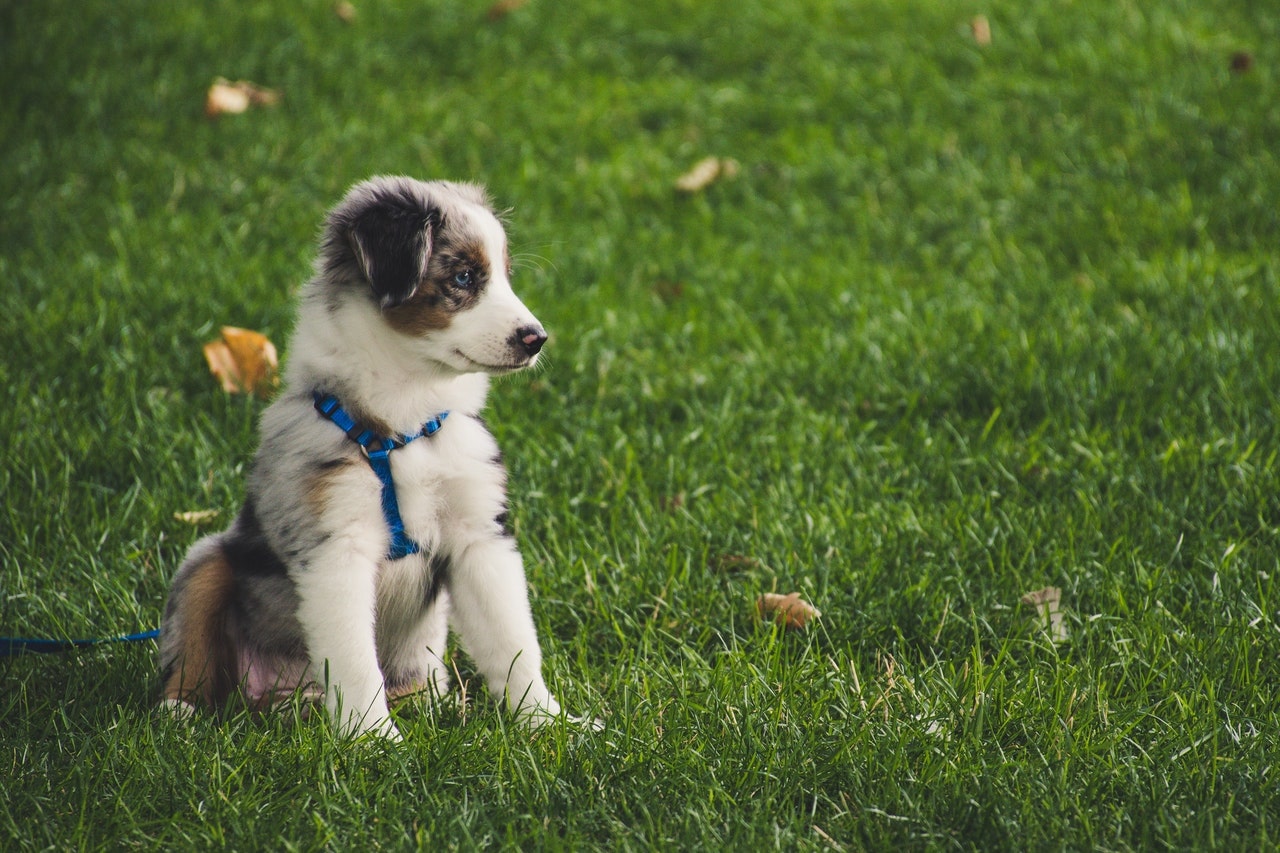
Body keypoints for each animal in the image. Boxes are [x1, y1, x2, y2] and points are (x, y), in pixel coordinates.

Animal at [160, 175, 586, 732]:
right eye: (465, 277)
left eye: (505, 277)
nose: (537, 339)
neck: (405, 422)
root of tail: (282, 697)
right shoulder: (335, 546)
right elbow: (355, 660)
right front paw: (373, 740)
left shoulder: (480, 535)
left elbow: (512, 642)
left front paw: (549, 724)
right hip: (208, 561)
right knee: (191, 647)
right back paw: (179, 712)